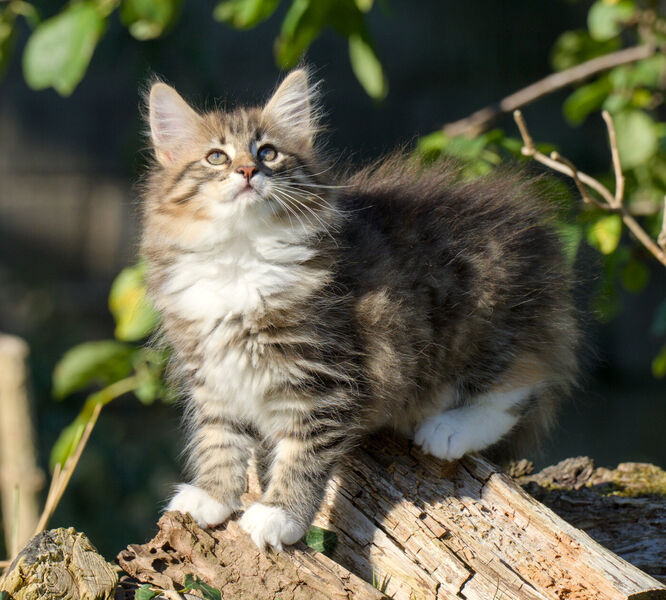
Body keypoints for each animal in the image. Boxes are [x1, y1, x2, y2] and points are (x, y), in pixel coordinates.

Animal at [141, 68, 576, 552]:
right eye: (216, 157)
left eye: (268, 152)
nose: (249, 170)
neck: (241, 254)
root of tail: (536, 233)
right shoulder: (212, 374)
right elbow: (219, 439)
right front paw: (213, 496)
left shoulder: (324, 377)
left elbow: (303, 453)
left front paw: (280, 515)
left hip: (483, 322)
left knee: (522, 382)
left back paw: (450, 429)